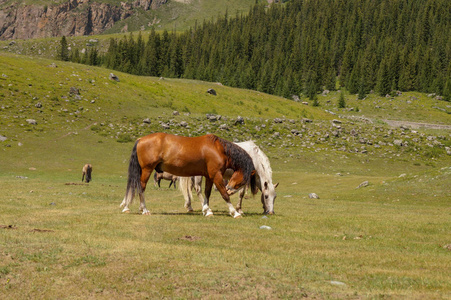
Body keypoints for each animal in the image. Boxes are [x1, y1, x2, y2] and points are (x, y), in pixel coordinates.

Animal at [119, 134, 258, 218]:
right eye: (244, 180)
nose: (230, 189)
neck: (218, 149)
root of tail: (141, 139)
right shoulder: (216, 175)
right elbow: (223, 194)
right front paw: (234, 212)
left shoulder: (209, 176)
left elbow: (207, 193)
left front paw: (207, 210)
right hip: (147, 170)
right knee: (141, 187)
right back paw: (144, 209)